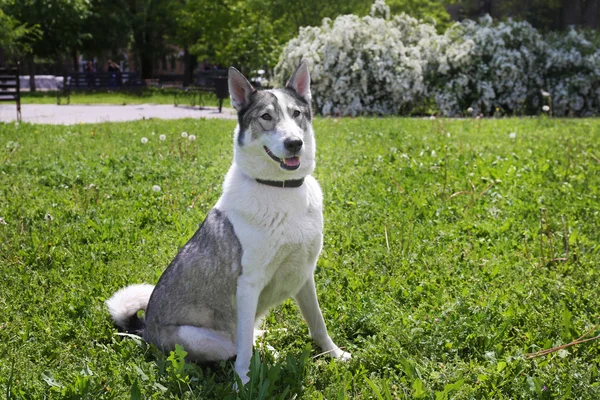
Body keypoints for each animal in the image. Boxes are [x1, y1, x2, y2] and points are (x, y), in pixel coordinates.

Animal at [108, 61, 352, 384]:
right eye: (266, 117)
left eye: (297, 113)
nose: (294, 143)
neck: (281, 189)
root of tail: (145, 330)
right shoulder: (248, 285)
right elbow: (245, 351)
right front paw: (244, 384)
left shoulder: (303, 275)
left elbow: (318, 324)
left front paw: (335, 355)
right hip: (201, 339)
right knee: (239, 345)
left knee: (251, 338)